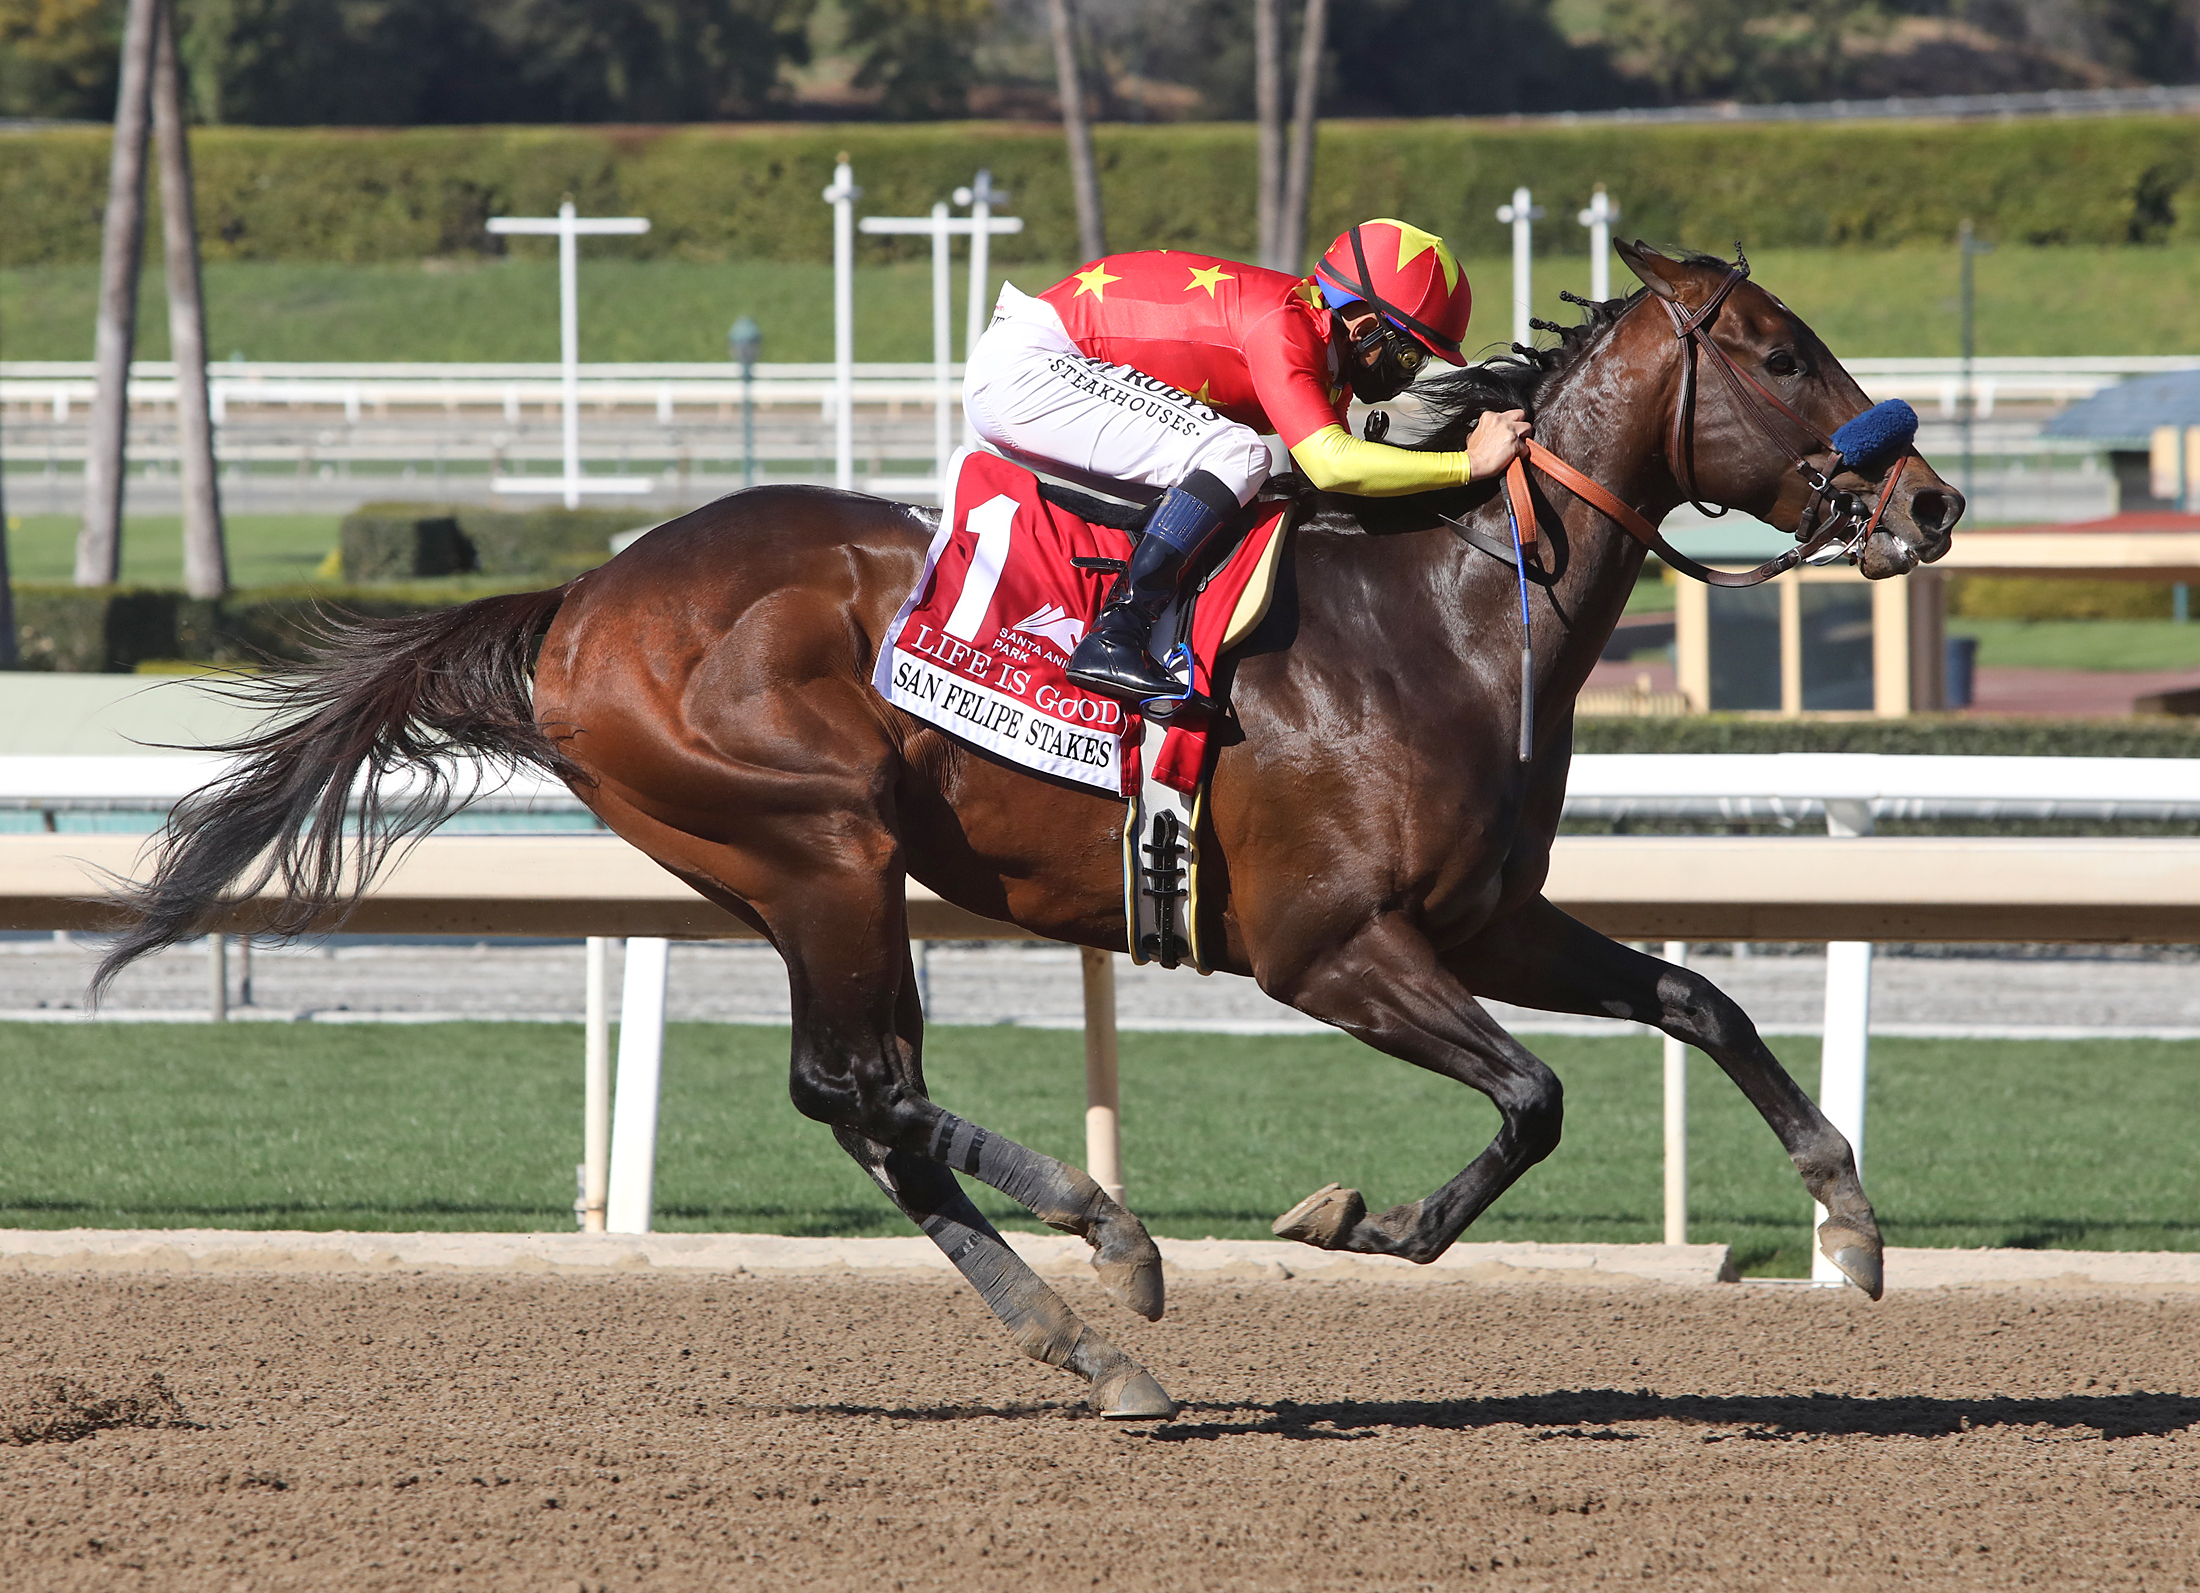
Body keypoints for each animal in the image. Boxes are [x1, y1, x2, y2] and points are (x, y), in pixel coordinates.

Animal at [99, 245, 1962, 1416]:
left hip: (800, 873)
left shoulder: (1488, 916)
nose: (1929, 498)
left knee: (868, 1101)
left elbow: (1697, 999)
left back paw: (1092, 1328)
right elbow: (1537, 1093)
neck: (1439, 617)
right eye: (1784, 353)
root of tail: (578, 602)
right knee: (859, 1089)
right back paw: (1111, 1248)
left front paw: (1851, 1219)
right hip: (822, 844)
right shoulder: (1327, 950)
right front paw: (1355, 1223)